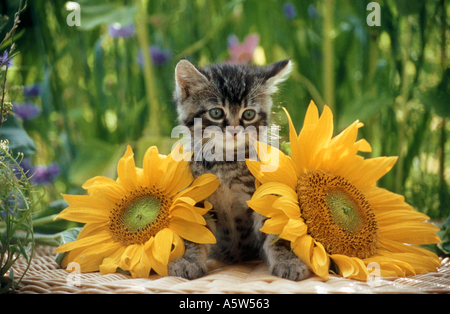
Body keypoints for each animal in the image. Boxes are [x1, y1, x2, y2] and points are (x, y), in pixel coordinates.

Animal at [167, 59, 312, 282]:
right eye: (216, 112)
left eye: (248, 114)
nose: (234, 130)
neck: (226, 162)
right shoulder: (197, 198)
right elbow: (194, 232)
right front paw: (188, 261)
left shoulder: (265, 194)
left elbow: (276, 232)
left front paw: (289, 261)